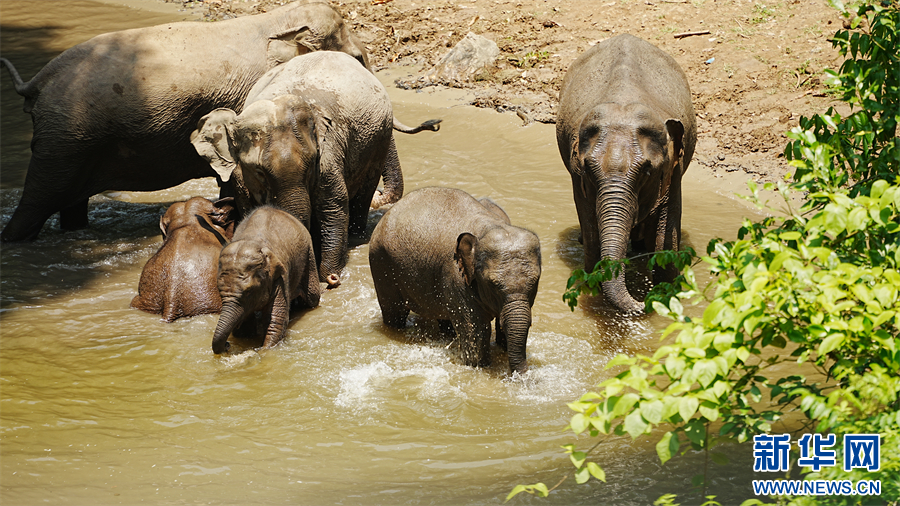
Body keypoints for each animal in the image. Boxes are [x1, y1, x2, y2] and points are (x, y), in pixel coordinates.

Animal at [0, 1, 437, 242]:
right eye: (359, 61)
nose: (434, 123)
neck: (273, 21)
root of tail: (38, 82)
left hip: (71, 140)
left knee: (69, 204)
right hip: (64, 140)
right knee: (36, 203)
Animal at [191, 50, 409, 288]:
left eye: (311, 164)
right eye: (259, 172)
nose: (332, 280)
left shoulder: (327, 157)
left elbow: (334, 206)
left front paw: (329, 277)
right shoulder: (240, 178)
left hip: (377, 141)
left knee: (362, 195)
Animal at [212, 206, 320, 354]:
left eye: (249, 292)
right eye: (219, 291)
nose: (227, 345)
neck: (252, 242)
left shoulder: (279, 277)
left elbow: (275, 319)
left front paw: (264, 351)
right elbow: (245, 327)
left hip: (308, 255)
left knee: (312, 297)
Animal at [368, 187, 542, 374]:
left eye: (535, 282)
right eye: (493, 284)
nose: (522, 375)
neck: (490, 226)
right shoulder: (457, 277)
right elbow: (477, 334)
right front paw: (479, 365)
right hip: (381, 263)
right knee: (394, 314)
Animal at [556, 34, 696, 314]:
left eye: (647, 171)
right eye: (589, 170)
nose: (644, 299)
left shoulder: (674, 167)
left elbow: (667, 227)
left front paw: (665, 286)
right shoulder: (577, 175)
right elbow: (590, 224)